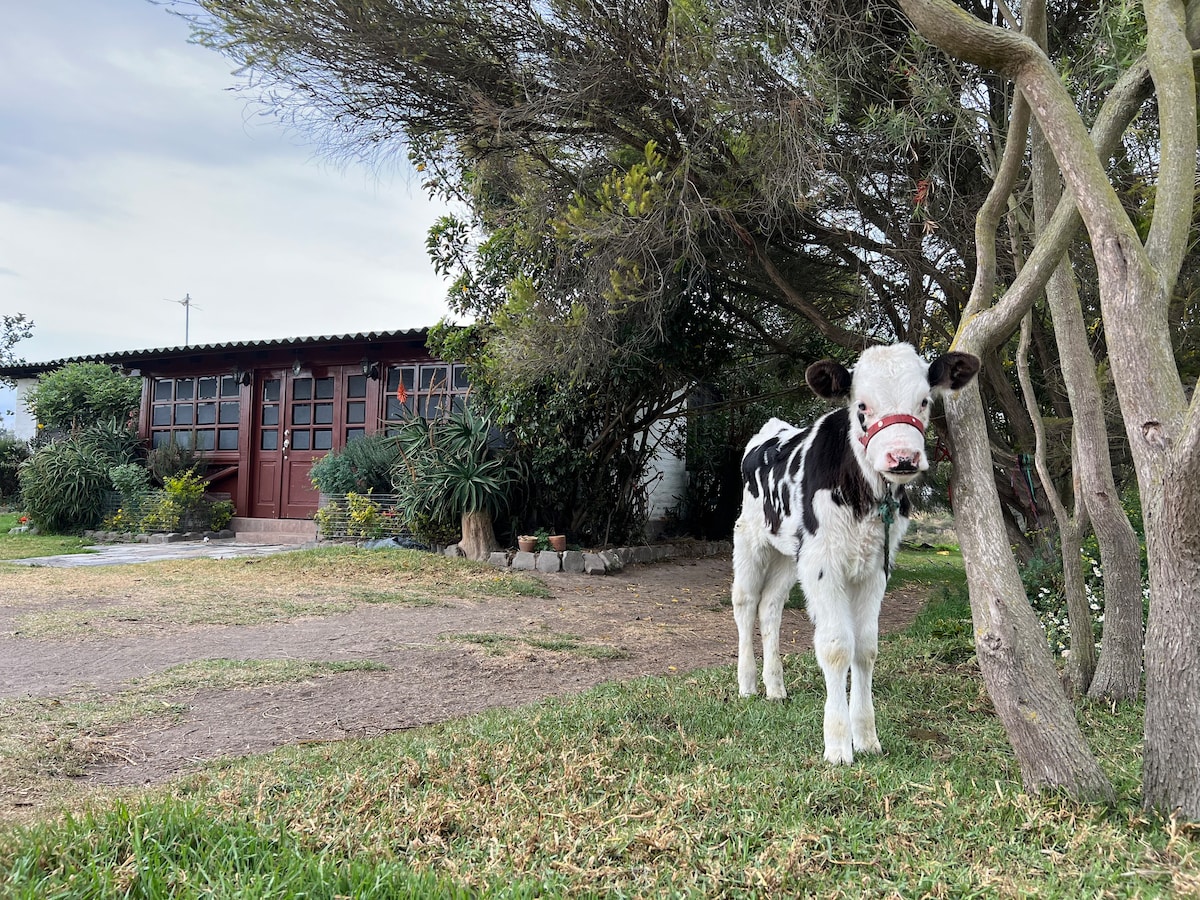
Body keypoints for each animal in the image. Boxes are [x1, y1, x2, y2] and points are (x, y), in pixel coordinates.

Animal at [729, 340, 974, 763]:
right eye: (862, 405)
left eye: (924, 401)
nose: (903, 458)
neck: (864, 496)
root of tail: (773, 430)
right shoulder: (822, 564)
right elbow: (836, 647)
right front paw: (839, 744)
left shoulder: (877, 567)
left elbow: (865, 648)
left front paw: (867, 737)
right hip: (749, 537)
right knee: (745, 603)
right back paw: (747, 684)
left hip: (788, 554)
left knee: (770, 608)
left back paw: (775, 687)